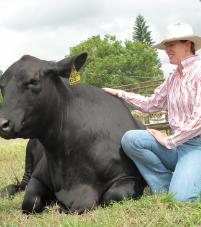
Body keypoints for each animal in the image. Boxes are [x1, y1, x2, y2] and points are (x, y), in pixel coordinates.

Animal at [0, 52, 146, 214]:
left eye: (33, 81)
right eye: (2, 87)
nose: (2, 123)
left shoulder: (128, 176)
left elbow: (116, 194)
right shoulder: (37, 177)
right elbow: (30, 201)